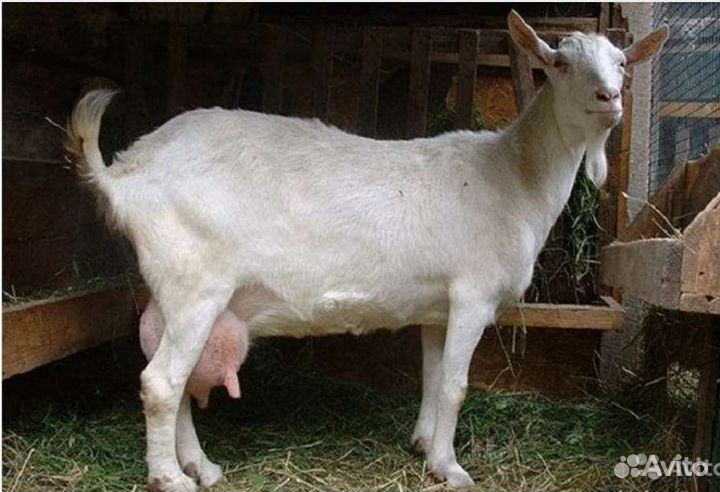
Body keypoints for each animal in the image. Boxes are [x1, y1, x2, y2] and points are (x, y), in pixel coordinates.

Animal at [67, 12, 668, 491]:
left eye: (621, 63)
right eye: (559, 63)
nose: (609, 100)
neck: (512, 175)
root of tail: (126, 173)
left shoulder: (439, 307)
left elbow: (432, 377)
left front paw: (423, 444)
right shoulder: (472, 295)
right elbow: (455, 386)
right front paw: (451, 469)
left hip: (176, 291)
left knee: (178, 376)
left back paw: (201, 465)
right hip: (196, 284)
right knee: (160, 382)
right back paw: (169, 478)